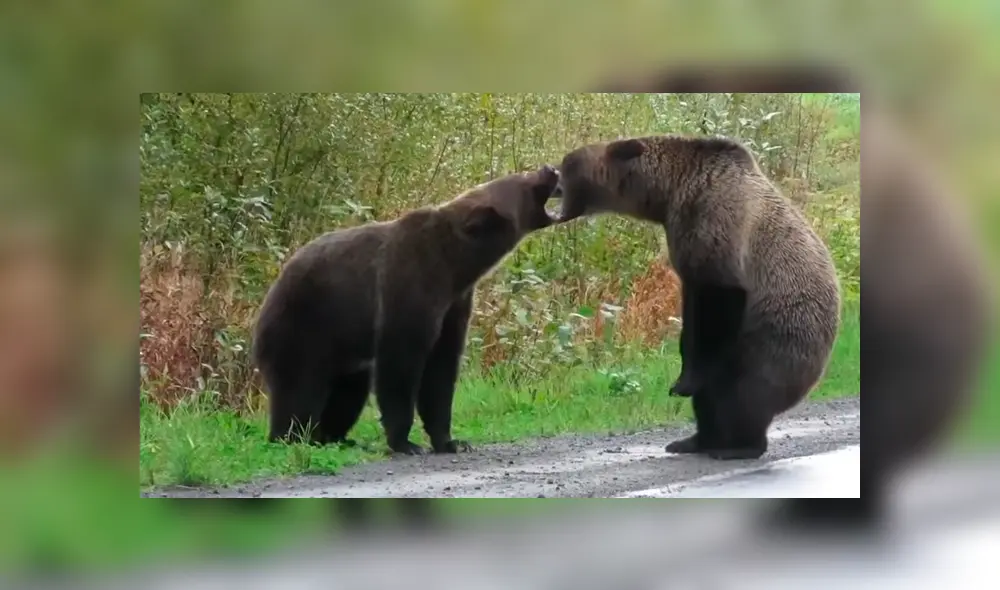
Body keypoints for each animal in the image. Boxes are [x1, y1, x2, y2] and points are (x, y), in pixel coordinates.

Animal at [252, 165, 561, 455]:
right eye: (523, 178)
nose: (550, 169)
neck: (456, 265)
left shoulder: (454, 303)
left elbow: (441, 370)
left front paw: (451, 441)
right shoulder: (410, 284)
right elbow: (401, 362)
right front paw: (405, 442)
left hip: (344, 351)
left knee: (347, 392)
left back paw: (334, 437)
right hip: (305, 326)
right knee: (300, 390)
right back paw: (292, 436)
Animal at [553, 134, 842, 460]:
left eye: (568, 164)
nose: (552, 177)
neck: (668, 193)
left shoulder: (715, 224)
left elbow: (719, 302)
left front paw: (684, 384)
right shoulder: (685, 251)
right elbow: (692, 320)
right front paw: (682, 380)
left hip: (776, 344)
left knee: (744, 393)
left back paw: (739, 445)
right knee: (713, 398)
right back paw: (694, 441)